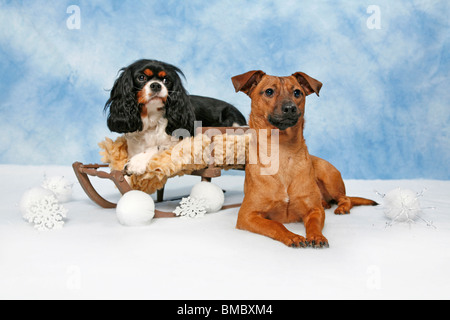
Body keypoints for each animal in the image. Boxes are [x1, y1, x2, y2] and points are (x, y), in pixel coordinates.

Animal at [232, 71, 376, 249]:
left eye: (297, 92)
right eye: (269, 91)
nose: (290, 108)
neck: (282, 151)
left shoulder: (314, 210)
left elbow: (313, 223)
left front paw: (317, 236)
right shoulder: (247, 215)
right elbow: (275, 224)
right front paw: (292, 236)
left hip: (329, 176)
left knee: (345, 198)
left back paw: (341, 207)